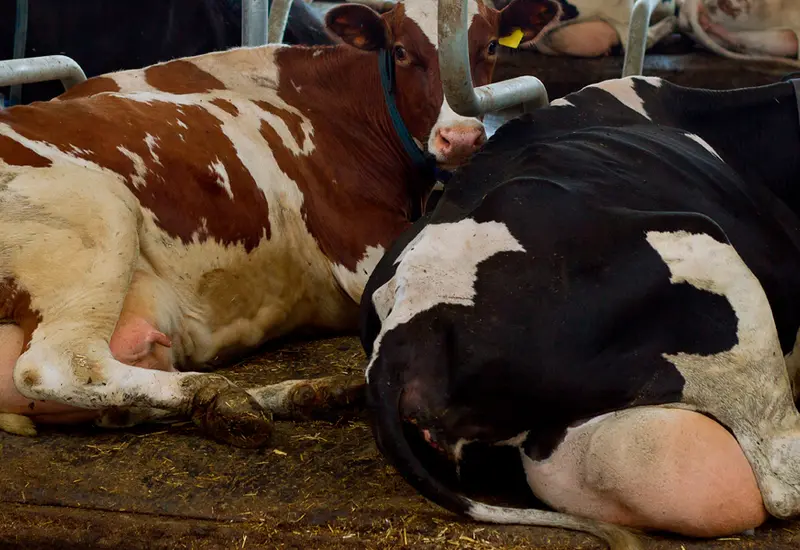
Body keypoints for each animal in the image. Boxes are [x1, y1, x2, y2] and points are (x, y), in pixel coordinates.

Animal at [0, 0, 560, 446]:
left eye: (490, 44)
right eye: (401, 51)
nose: (461, 137)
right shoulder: (364, 252)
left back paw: (301, 395)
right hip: (97, 215)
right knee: (57, 365)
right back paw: (220, 395)